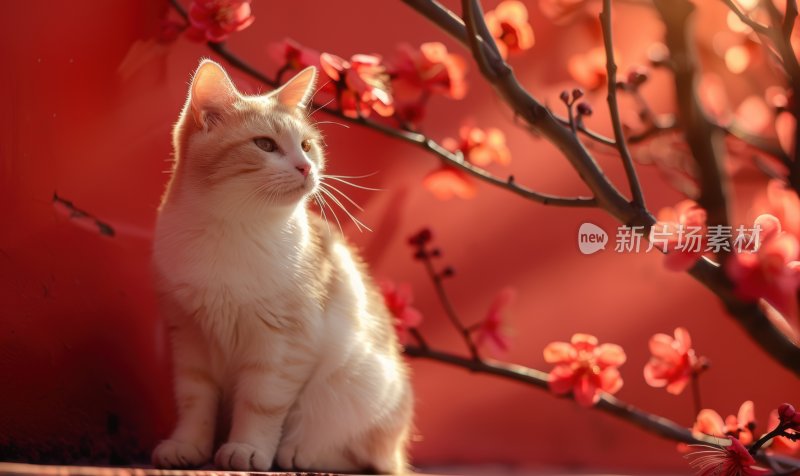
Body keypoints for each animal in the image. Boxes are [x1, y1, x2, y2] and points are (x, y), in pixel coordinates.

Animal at [149, 58, 412, 472]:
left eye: (306, 145)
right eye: (265, 145)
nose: (306, 167)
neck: (231, 228)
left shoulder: (284, 344)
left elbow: (261, 405)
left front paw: (246, 448)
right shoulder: (189, 336)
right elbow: (194, 400)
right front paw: (187, 444)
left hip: (360, 387)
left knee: (360, 456)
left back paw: (298, 452)